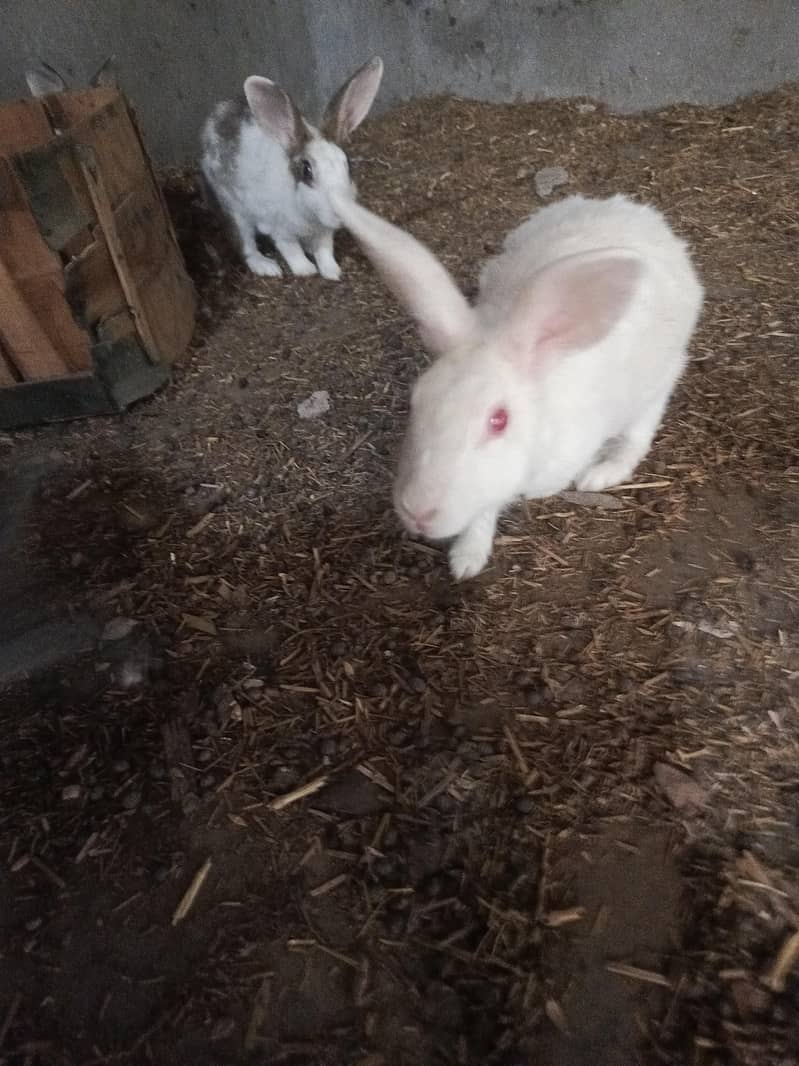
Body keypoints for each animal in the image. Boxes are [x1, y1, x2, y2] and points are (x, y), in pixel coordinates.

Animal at [200, 56, 383, 282]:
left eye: (348, 164)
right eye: (306, 170)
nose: (342, 212)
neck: (308, 214)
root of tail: (216, 116)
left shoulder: (324, 232)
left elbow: (325, 250)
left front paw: (332, 271)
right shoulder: (280, 229)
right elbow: (291, 249)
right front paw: (305, 270)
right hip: (233, 209)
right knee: (245, 245)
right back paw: (267, 266)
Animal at [329, 191, 704, 580]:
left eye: (499, 420)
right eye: (415, 401)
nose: (419, 512)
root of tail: (638, 214)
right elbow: (482, 513)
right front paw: (467, 559)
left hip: (657, 381)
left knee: (638, 433)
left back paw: (600, 475)